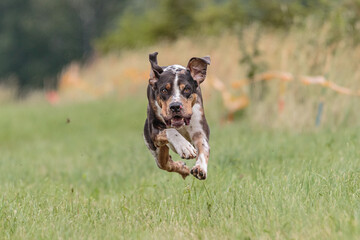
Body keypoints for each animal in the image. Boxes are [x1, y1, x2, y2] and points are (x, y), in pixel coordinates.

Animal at [143, 52, 211, 180]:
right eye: (164, 90)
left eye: (187, 89)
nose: (175, 106)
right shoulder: (154, 130)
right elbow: (169, 131)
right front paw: (184, 146)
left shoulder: (199, 130)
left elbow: (203, 147)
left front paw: (200, 168)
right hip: (156, 150)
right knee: (165, 163)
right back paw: (182, 168)